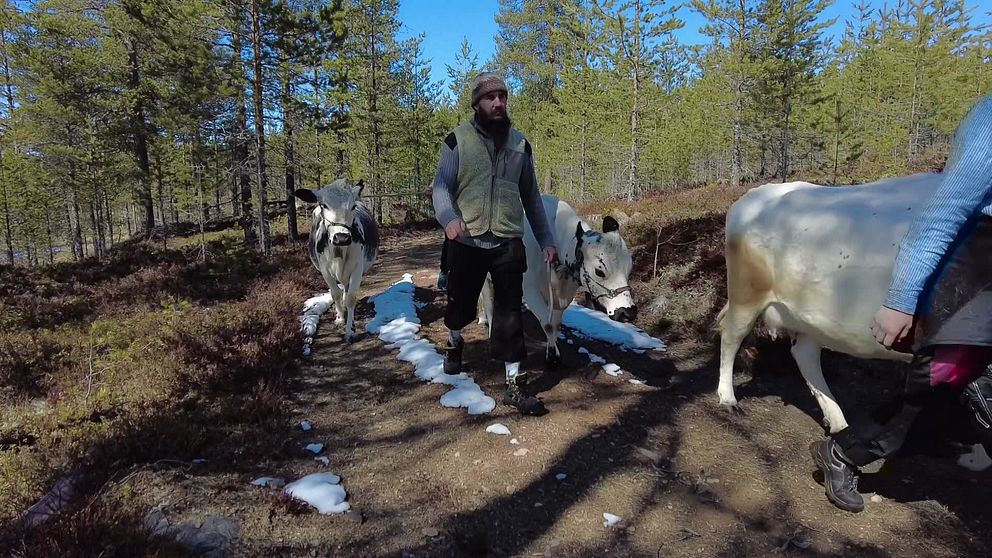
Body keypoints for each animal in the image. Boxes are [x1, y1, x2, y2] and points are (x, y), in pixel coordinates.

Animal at [294, 180, 380, 346]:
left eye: (353, 206)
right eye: (324, 205)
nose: (342, 237)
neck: (339, 251)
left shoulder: (357, 267)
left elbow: (350, 297)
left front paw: (350, 330)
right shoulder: (324, 270)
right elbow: (335, 293)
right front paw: (340, 319)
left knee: (346, 292)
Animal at [480, 196, 636, 368]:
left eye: (630, 267)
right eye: (599, 271)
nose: (627, 312)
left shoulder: (561, 297)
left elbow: (555, 323)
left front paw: (554, 352)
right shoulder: (530, 290)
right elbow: (547, 325)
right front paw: (552, 357)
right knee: (487, 301)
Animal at [716, 174, 940, 434]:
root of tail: (754, 194)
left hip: (807, 316)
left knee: (805, 355)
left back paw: (838, 424)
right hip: (747, 293)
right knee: (732, 335)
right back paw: (727, 399)